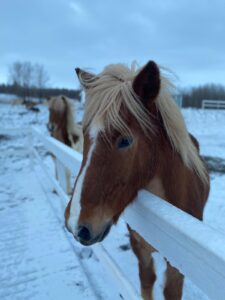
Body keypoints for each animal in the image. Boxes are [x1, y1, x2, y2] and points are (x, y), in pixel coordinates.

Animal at [64, 62, 210, 298]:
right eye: (85, 134)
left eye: (125, 140)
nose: (76, 224)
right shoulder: (139, 247)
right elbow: (147, 280)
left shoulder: (177, 267)